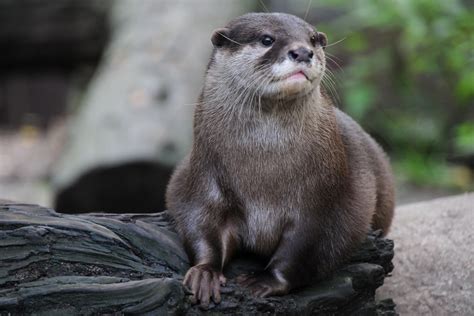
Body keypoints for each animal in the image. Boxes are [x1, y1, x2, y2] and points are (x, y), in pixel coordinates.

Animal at [165, 12, 394, 306]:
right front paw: (205, 273)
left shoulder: (328, 198)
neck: (265, 174)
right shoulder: (202, 176)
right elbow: (199, 222)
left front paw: (264, 282)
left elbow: (308, 246)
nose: (303, 52)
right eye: (267, 39)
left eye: (313, 39)